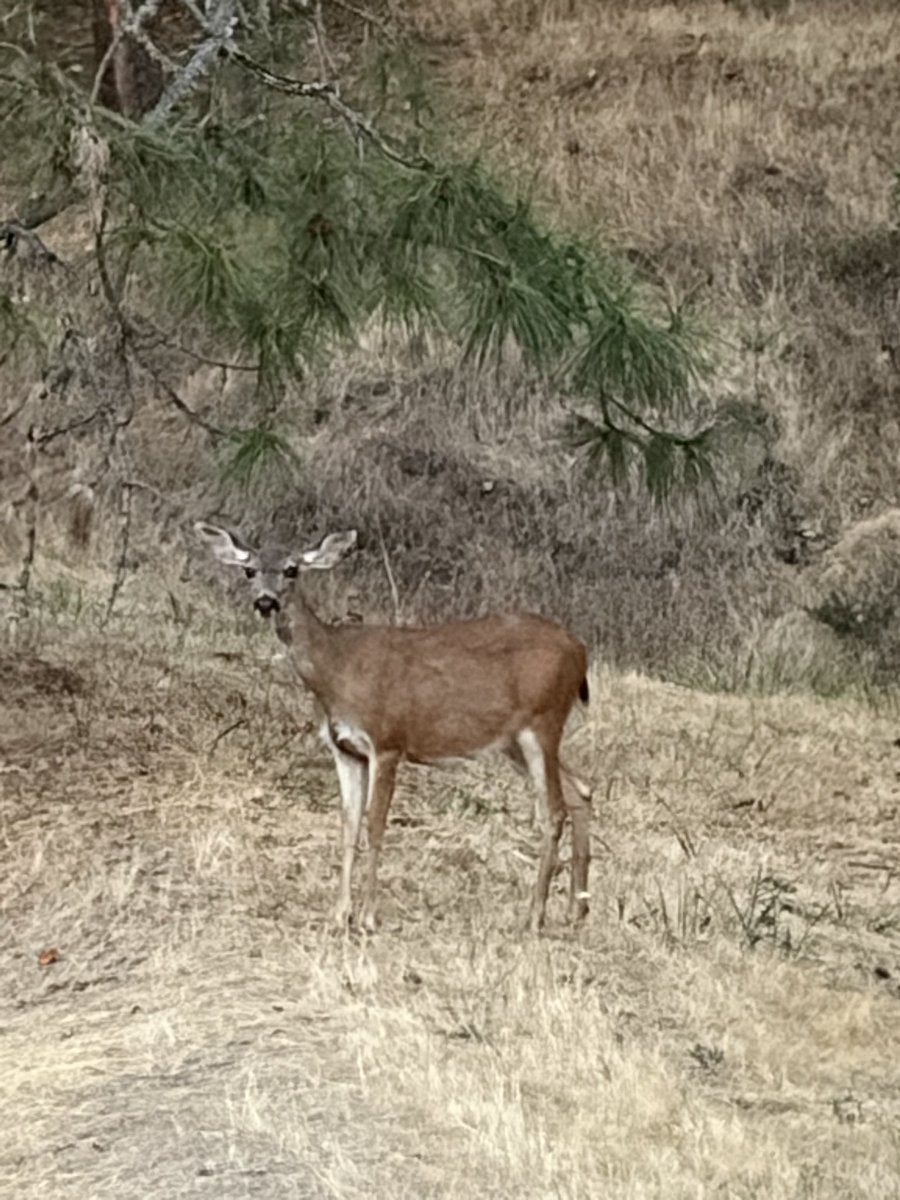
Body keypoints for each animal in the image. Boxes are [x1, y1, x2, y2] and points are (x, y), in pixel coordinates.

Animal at [195, 521, 593, 934]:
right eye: (249, 570)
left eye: (292, 569)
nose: (265, 602)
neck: (336, 669)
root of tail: (580, 651)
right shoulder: (345, 749)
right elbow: (348, 824)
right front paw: (339, 914)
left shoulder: (387, 741)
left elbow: (375, 825)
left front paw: (368, 917)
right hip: (513, 740)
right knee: (582, 790)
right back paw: (575, 910)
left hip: (543, 719)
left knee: (554, 810)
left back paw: (534, 915)